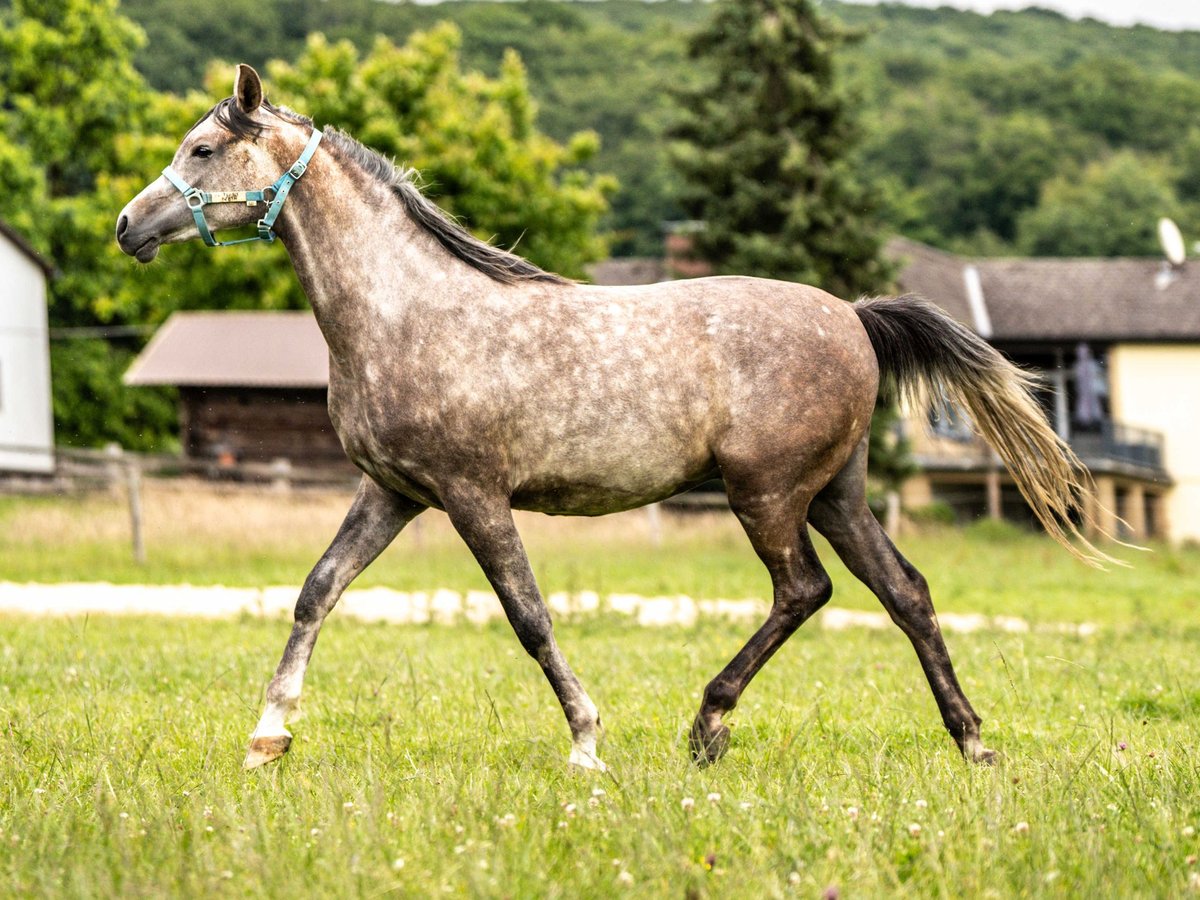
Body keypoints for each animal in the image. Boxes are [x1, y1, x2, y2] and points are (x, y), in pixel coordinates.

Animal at [117, 66, 1099, 777]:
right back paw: (972, 743)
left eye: (204, 148)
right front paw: (267, 737)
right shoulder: (392, 492)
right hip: (836, 493)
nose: (128, 226)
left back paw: (708, 726)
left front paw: (587, 742)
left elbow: (528, 616)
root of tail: (855, 317)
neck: (406, 313)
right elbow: (318, 589)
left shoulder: (473, 495)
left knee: (805, 590)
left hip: (768, 493)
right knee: (906, 594)